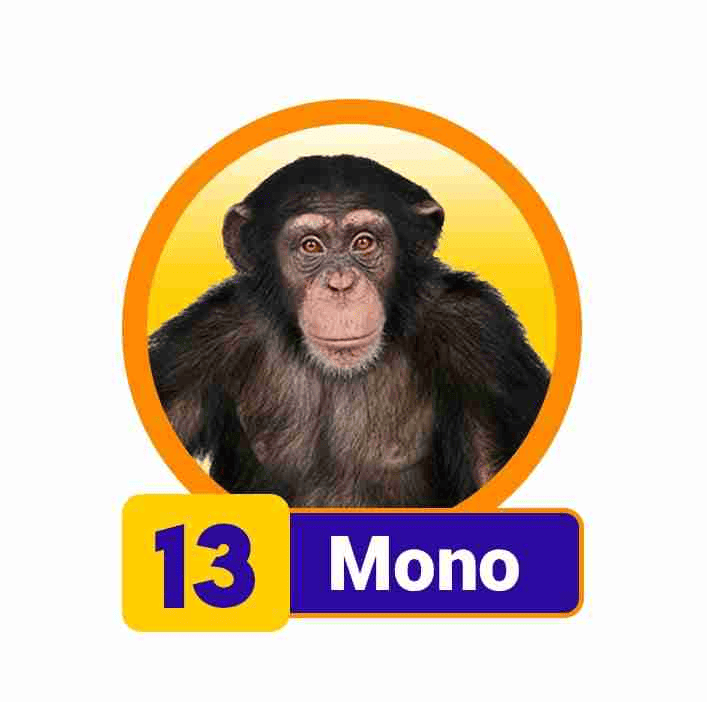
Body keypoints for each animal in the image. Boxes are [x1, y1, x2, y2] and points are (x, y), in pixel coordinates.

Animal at [149, 155, 550, 507]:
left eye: (364, 242)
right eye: (311, 246)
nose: (340, 283)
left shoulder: (481, 337)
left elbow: (490, 462)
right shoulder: (204, 341)